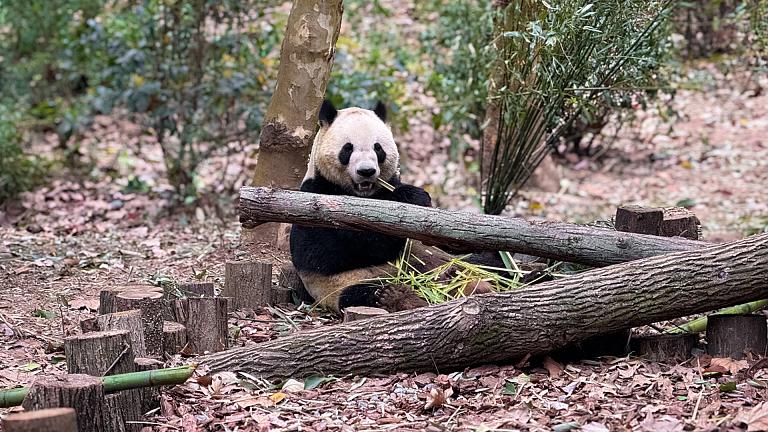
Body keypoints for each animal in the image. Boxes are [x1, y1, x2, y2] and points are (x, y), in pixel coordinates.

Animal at [289, 99, 433, 313]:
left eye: (378, 148)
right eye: (348, 148)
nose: (366, 171)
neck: (363, 195)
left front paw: (420, 198)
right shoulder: (315, 199)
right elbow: (324, 252)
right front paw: (411, 198)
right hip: (342, 286)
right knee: (361, 293)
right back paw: (398, 297)